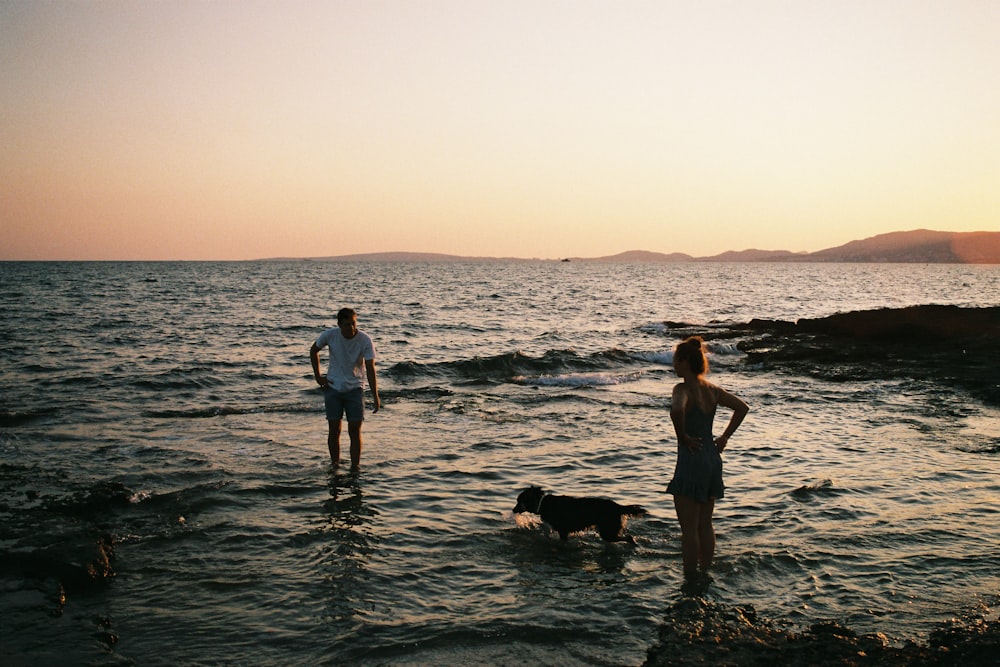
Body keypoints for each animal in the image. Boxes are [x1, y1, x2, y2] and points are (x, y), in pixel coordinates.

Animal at [516, 488, 648, 544]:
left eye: (518, 501)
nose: (513, 509)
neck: (542, 503)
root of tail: (618, 506)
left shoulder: (563, 531)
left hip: (608, 532)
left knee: (628, 537)